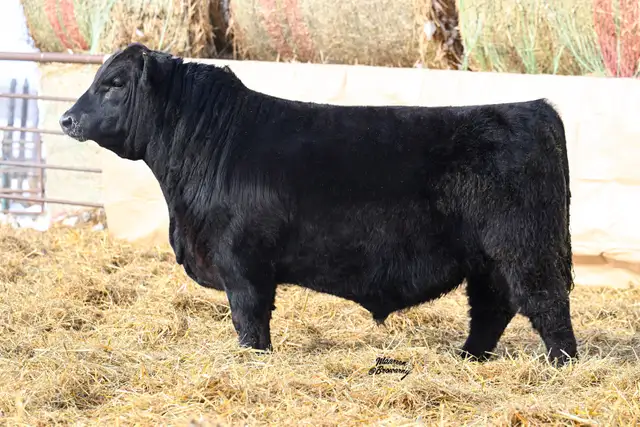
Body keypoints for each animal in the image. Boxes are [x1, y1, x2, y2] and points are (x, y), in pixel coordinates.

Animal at [59, 43, 578, 366]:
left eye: (114, 82)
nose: (65, 119)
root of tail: (533, 108)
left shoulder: (241, 262)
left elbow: (249, 317)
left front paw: (253, 359)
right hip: (487, 259)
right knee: (492, 306)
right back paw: (468, 357)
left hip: (526, 248)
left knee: (546, 304)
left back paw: (562, 367)